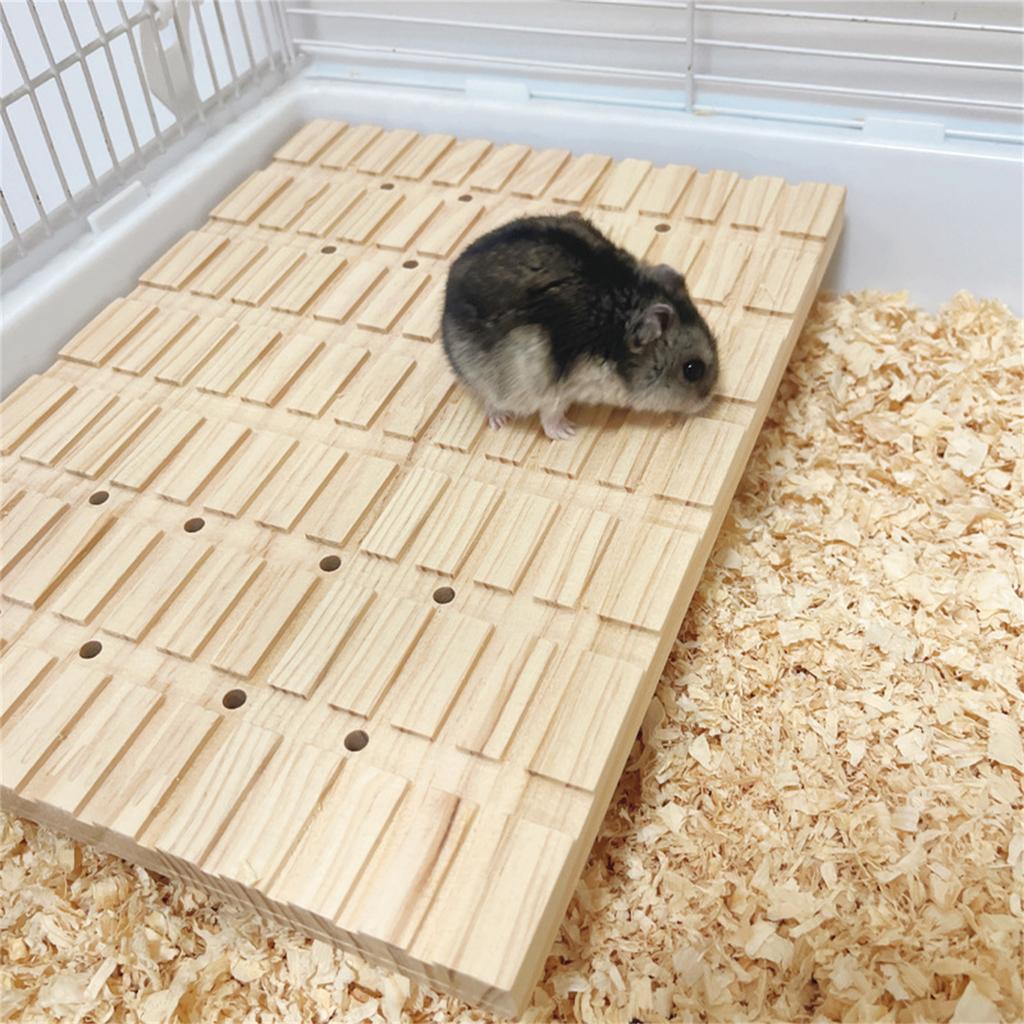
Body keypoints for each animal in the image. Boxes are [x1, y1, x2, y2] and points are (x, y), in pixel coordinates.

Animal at [441, 211, 718, 439]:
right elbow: (550, 417)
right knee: (488, 399)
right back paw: (500, 419)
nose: (709, 398)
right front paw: (569, 432)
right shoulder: (556, 391)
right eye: (693, 370)